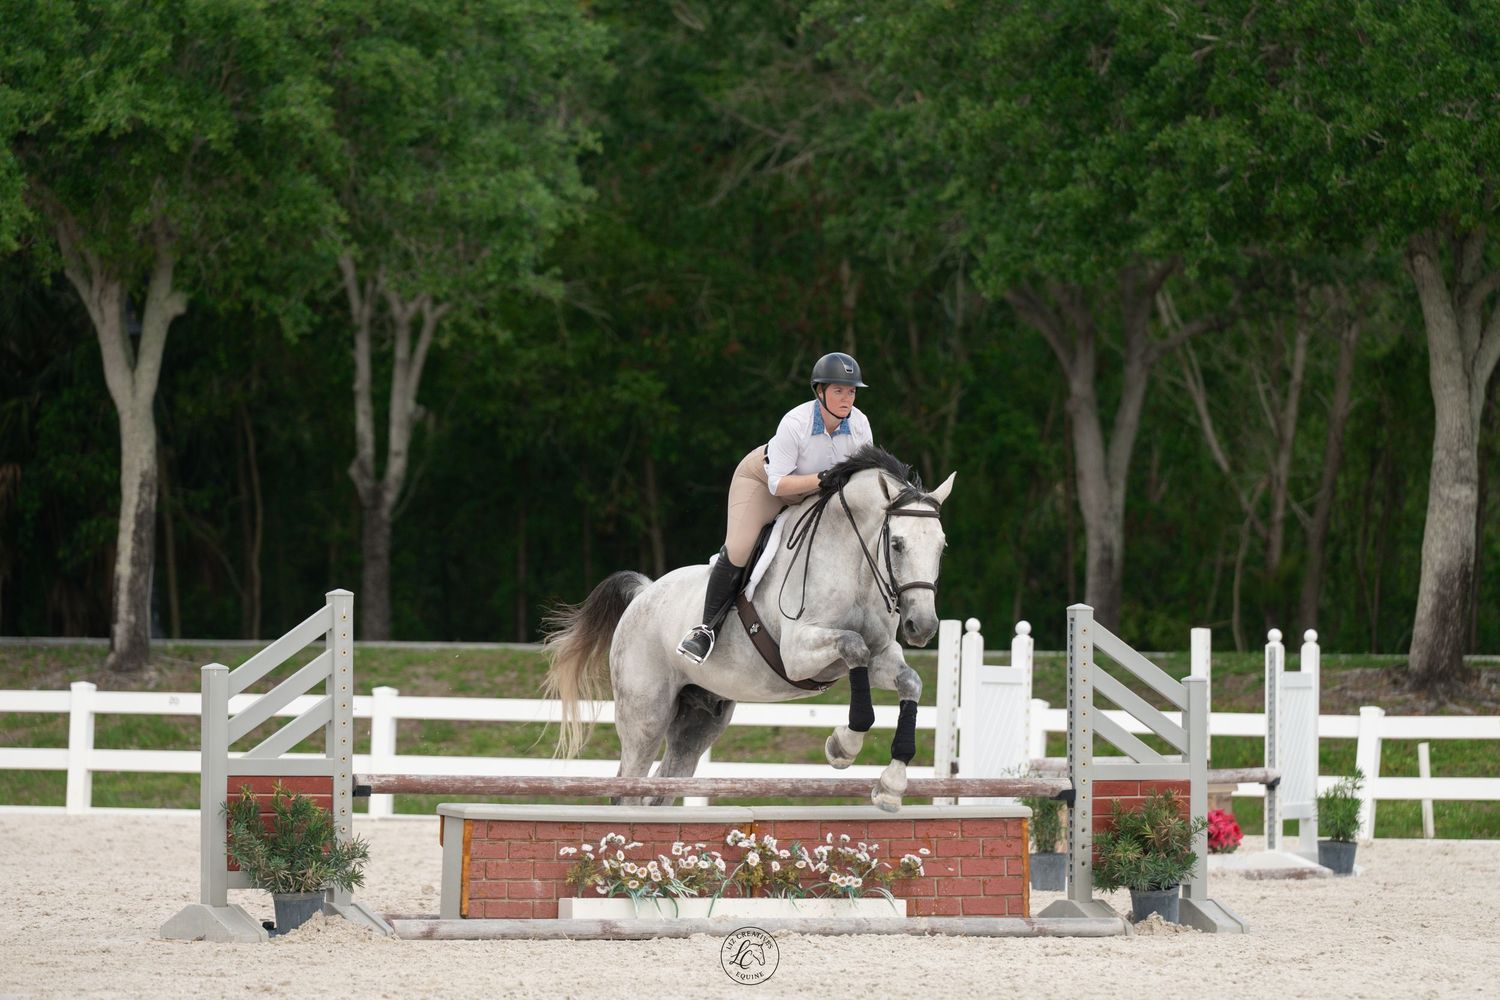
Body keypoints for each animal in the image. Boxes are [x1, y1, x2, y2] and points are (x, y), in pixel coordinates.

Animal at [543, 445, 955, 812]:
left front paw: (891, 785)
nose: (922, 627)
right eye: (897, 544)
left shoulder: (879, 656)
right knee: (629, 783)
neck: (855, 565)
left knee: (663, 785)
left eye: (941, 546)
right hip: (644, 714)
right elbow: (854, 645)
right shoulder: (797, 653)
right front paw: (843, 746)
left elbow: (909, 681)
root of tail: (644, 593)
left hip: (699, 720)